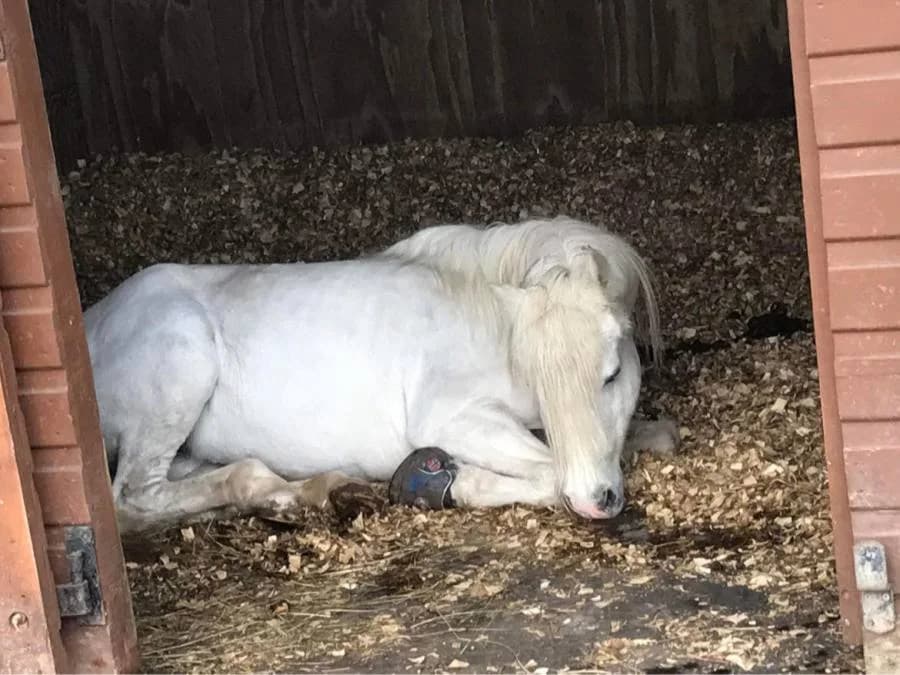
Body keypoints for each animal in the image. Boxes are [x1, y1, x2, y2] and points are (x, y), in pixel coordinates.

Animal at [84, 216, 679, 533]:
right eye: (539, 376)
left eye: (613, 374)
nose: (597, 500)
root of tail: (91, 321)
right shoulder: (453, 419)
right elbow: (547, 471)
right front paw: (457, 484)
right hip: (181, 370)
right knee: (133, 496)